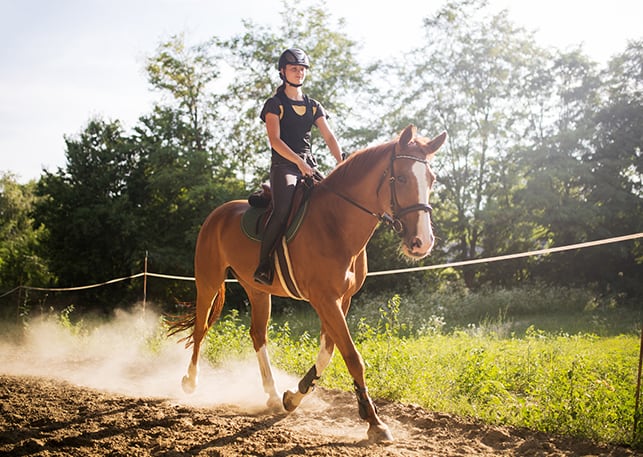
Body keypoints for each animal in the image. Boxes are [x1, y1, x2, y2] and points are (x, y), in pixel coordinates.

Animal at [170, 124, 448, 442]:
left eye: (431, 179)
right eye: (401, 178)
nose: (422, 242)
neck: (336, 223)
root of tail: (218, 213)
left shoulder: (340, 300)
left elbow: (328, 352)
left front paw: (294, 396)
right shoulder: (324, 299)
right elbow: (352, 356)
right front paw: (374, 421)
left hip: (257, 289)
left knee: (257, 334)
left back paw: (271, 393)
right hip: (208, 280)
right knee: (201, 328)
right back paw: (191, 381)